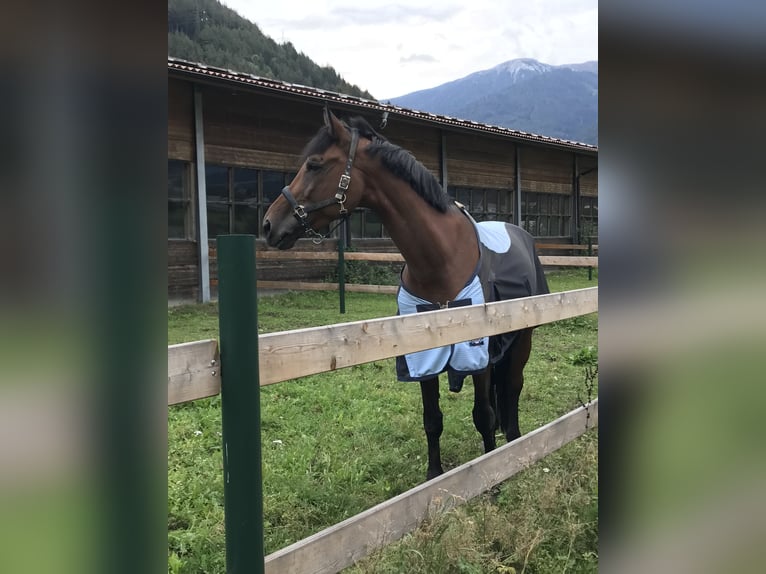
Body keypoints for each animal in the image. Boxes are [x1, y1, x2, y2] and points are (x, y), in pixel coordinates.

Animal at [263, 107, 549, 480]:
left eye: (314, 164)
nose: (268, 224)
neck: (442, 258)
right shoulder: (422, 354)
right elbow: (432, 420)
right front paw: (434, 474)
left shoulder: (478, 354)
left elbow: (483, 415)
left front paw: (492, 473)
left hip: (522, 338)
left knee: (513, 388)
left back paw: (514, 441)